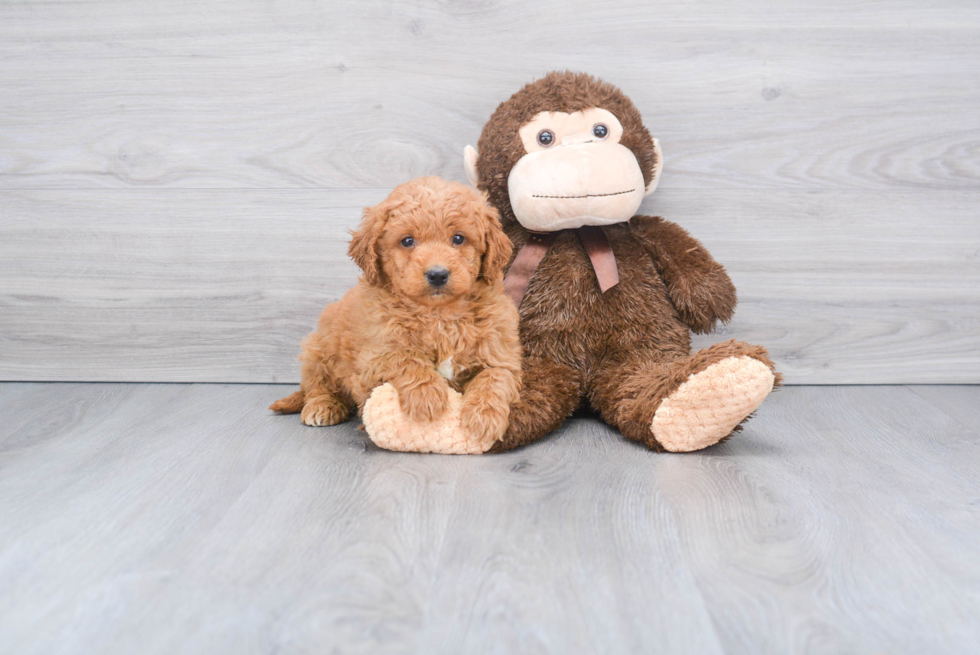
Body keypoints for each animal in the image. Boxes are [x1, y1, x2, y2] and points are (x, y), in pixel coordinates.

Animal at [268, 176, 520, 452]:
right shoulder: (374, 355)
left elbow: (495, 377)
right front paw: (426, 395)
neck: (439, 314)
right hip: (318, 349)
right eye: (407, 241)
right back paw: (322, 406)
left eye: (458, 238)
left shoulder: (500, 352)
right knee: (317, 385)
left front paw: (484, 417)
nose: (438, 274)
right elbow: (405, 356)